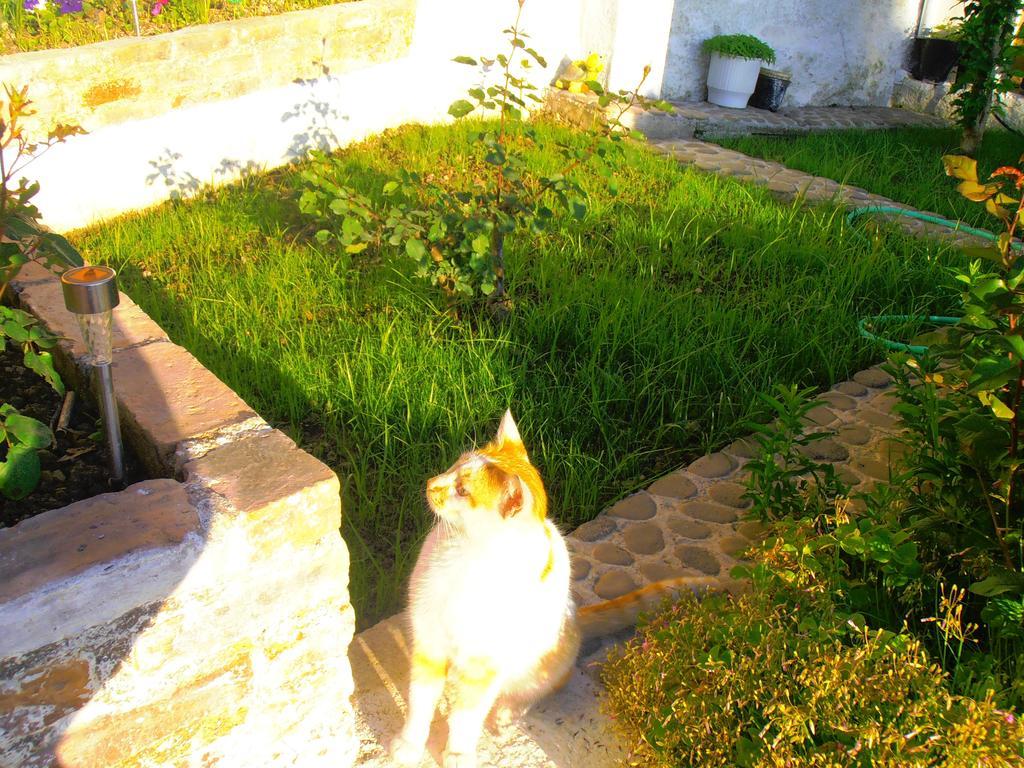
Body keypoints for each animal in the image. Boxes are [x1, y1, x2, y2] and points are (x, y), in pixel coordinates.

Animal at [387, 415, 692, 768]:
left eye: (462, 490)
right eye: (453, 466)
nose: (430, 483)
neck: (463, 554)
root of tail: (575, 617)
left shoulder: (484, 667)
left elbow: (466, 717)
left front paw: (458, 753)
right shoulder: (429, 643)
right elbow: (420, 700)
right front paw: (409, 745)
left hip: (539, 664)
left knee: (535, 689)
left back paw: (506, 715)